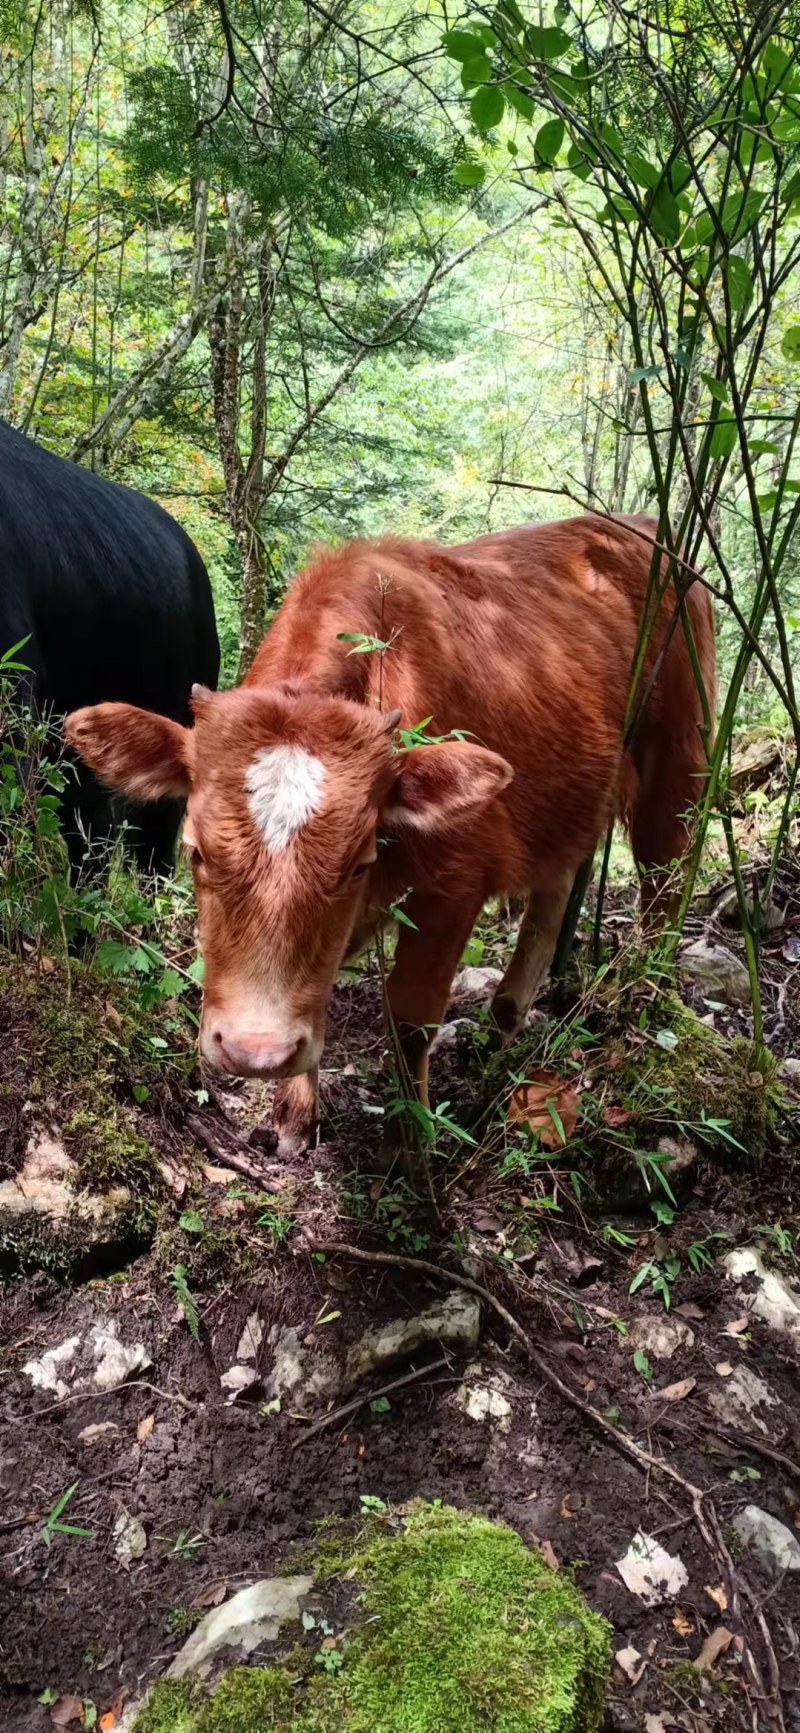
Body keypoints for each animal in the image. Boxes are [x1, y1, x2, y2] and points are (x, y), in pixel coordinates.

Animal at [67, 519, 713, 1157]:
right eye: (196, 853)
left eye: (358, 863)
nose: (257, 1052)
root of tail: (641, 530)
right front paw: (295, 1111)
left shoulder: (454, 888)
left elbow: (411, 1019)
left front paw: (409, 1147)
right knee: (556, 885)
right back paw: (505, 1018)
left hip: (678, 767)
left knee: (664, 879)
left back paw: (645, 996)